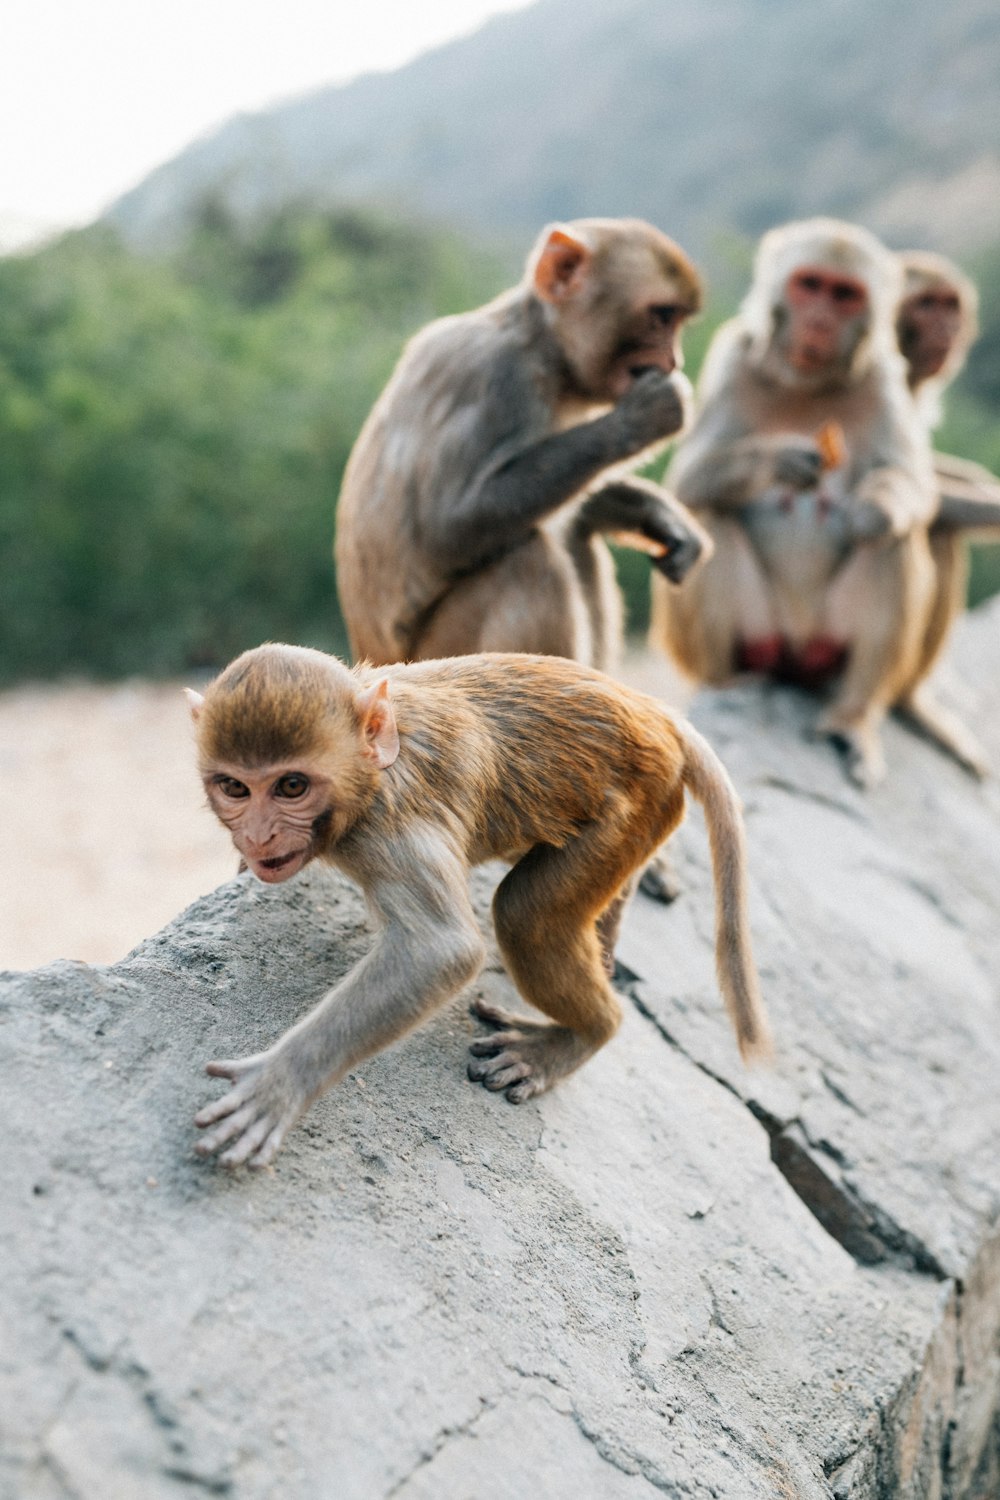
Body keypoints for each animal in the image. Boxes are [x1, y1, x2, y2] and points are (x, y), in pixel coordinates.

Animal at [187, 645, 773, 1170]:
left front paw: (278, 1084)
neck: (370, 769)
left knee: (523, 915)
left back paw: (580, 1035)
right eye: (235, 788)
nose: (258, 836)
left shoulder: (390, 831)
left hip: (637, 801)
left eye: (291, 786)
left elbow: (441, 951)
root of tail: (654, 712)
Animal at [335, 217, 710, 675]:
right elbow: (449, 526)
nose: (674, 362)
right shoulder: (491, 378)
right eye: (661, 315)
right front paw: (640, 418)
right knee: (529, 560)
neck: (545, 350)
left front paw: (654, 513)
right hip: (438, 654)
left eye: (675, 320)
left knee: (574, 536)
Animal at [653, 217, 953, 792]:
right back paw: (731, 686)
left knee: (891, 543)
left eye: (844, 295)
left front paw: (870, 511)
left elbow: (908, 485)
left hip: (828, 644)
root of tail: (793, 650)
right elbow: (689, 479)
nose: (818, 321)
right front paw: (786, 458)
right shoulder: (734, 354)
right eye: (809, 285)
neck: (807, 381)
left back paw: (851, 718)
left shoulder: (884, 374)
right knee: (711, 516)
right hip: (754, 633)